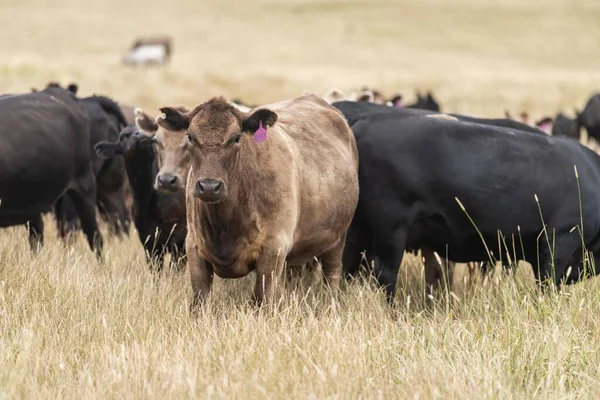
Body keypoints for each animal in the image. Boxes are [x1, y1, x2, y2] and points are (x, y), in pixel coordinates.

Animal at [157, 94, 358, 306]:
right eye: (190, 137)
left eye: (236, 138)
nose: (209, 186)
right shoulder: (194, 247)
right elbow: (200, 299)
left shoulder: (273, 250)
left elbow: (261, 299)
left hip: (338, 238)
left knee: (332, 273)